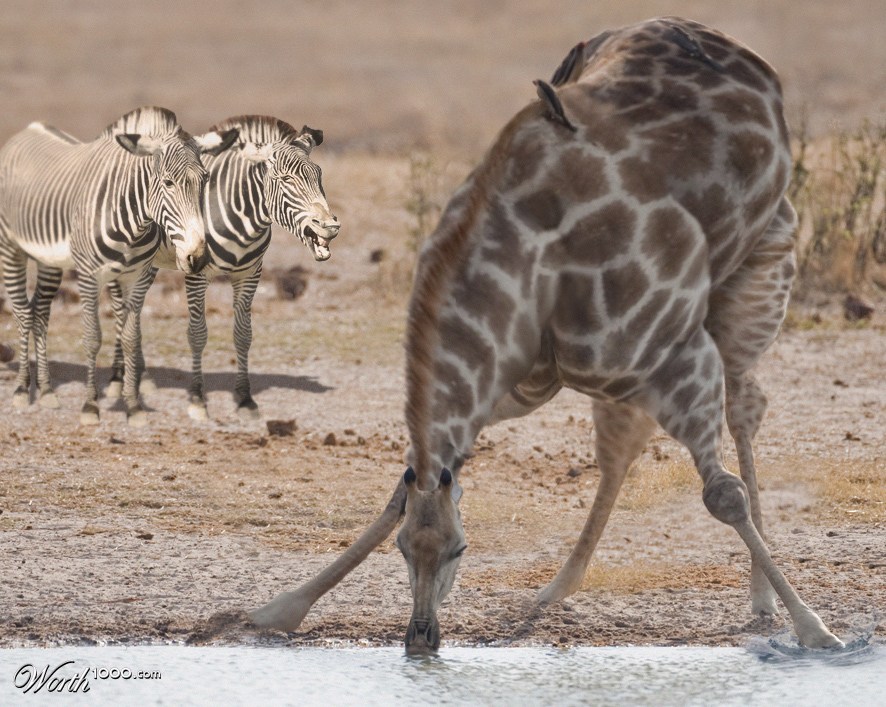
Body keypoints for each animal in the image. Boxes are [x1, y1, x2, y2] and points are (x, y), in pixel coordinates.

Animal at [0, 106, 239, 426]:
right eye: (168, 182)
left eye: (205, 180)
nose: (197, 257)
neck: (134, 222)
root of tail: (29, 129)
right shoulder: (88, 277)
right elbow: (92, 338)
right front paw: (90, 406)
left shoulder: (137, 277)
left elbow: (129, 336)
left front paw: (133, 405)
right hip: (11, 248)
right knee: (23, 313)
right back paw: (22, 389)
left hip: (48, 259)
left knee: (40, 312)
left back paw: (47, 390)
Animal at [106, 115, 340, 420]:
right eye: (287, 179)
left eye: (319, 175)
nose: (331, 227)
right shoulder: (197, 273)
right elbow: (197, 334)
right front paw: (197, 399)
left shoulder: (250, 274)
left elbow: (243, 334)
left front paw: (245, 398)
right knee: (118, 309)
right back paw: (115, 380)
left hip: (147, 264)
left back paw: (142, 380)